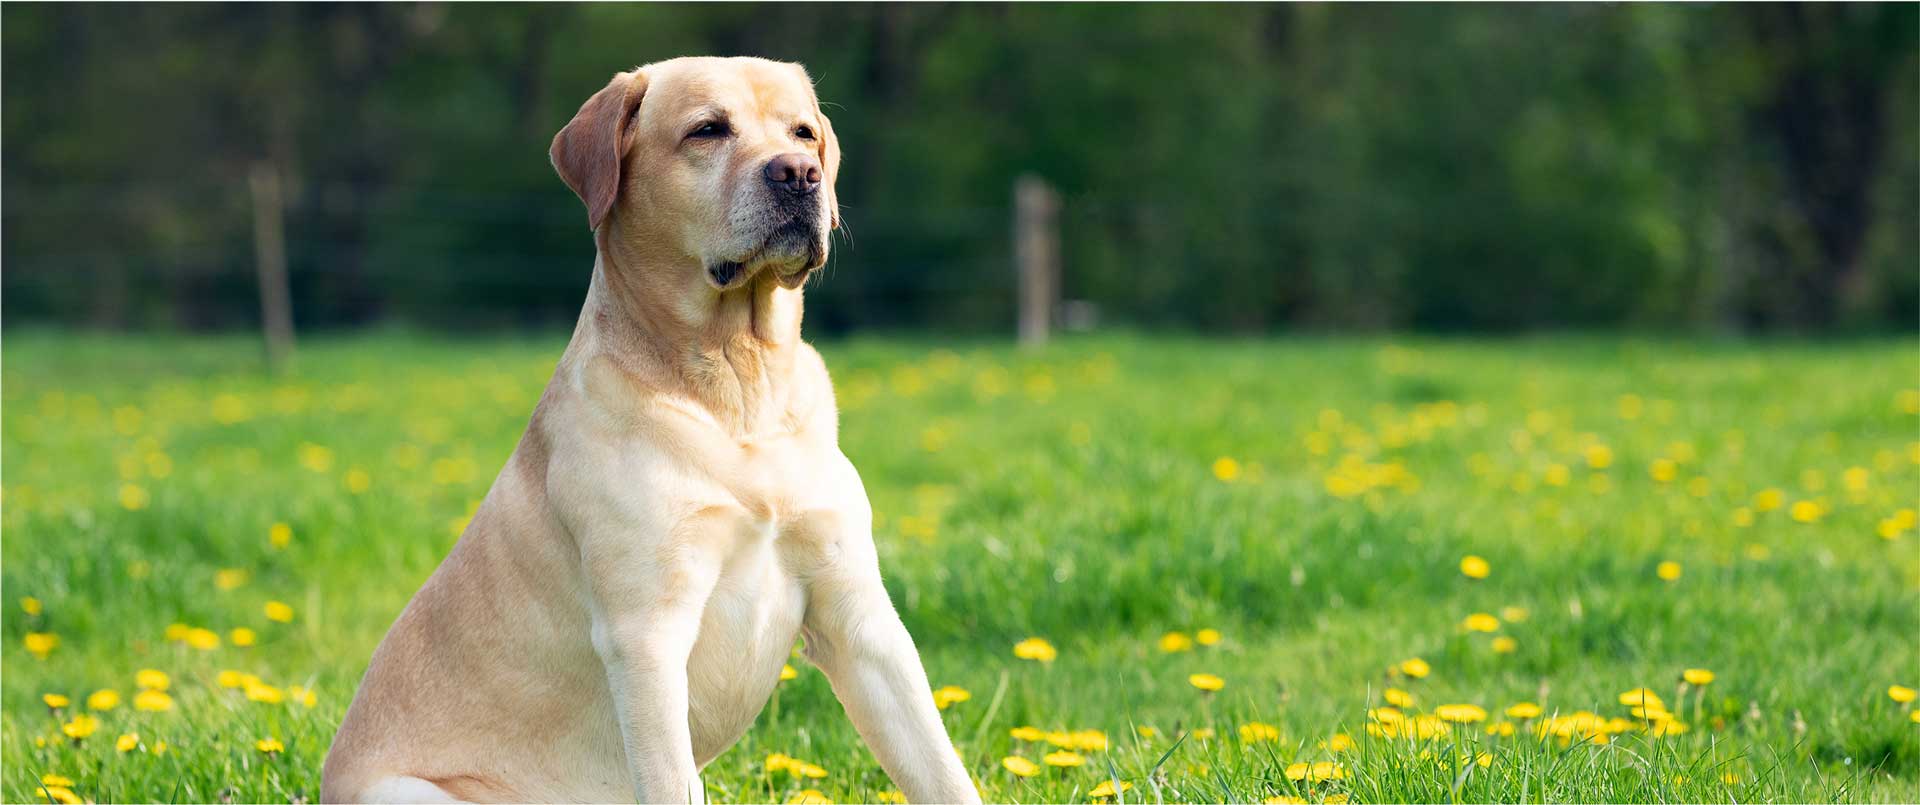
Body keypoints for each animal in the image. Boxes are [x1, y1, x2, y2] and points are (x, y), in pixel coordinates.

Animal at [326, 58, 975, 805]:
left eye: (803, 132)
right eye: (708, 130)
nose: (799, 174)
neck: (739, 382)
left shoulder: (860, 616)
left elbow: (942, 768)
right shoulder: (647, 637)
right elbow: (669, 774)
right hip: (414, 790)